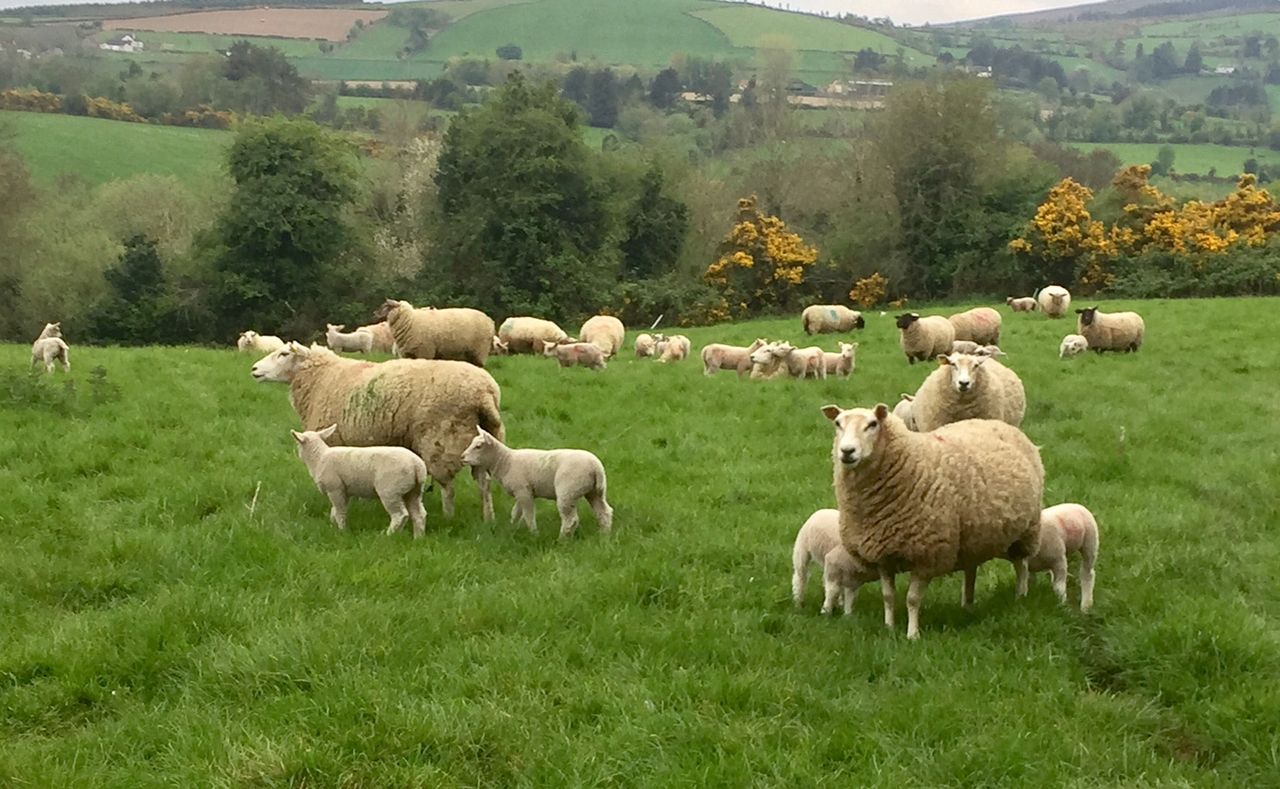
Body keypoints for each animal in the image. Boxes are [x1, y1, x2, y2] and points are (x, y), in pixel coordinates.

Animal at [250, 342, 504, 522]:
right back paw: (488, 518)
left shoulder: (333, 442)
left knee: (448, 487)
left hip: (441, 439)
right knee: (484, 484)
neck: (321, 378)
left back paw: (448, 516)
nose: (253, 369)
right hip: (479, 442)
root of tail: (484, 392)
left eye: (284, 354)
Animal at [291, 425, 428, 538]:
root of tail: (417, 465)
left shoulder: (335, 488)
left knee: (400, 515)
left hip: (390, 490)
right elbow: (334, 510)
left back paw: (387, 536)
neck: (319, 457)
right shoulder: (343, 490)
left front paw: (342, 531)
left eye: (297, 443)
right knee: (419, 514)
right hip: (413, 491)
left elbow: (340, 511)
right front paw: (333, 526)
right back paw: (418, 538)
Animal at [462, 427, 613, 538]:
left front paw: (534, 534)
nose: (462, 457)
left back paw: (561, 540)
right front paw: (512, 527)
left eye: (478, 446)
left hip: (568, 491)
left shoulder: (523, 491)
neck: (506, 461)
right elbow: (516, 512)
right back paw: (604, 535)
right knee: (604, 512)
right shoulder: (521, 491)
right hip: (595, 491)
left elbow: (529, 515)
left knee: (571, 519)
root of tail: (595, 467)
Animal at [821, 403, 1044, 639]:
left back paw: (1020, 597)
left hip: (1027, 530)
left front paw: (912, 635)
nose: (847, 451)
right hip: (972, 537)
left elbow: (912, 599)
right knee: (971, 570)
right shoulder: (882, 555)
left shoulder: (927, 555)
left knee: (1021, 566)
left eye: (872, 424)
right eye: (837, 424)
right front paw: (889, 627)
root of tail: (996, 423)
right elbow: (888, 596)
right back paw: (967, 604)